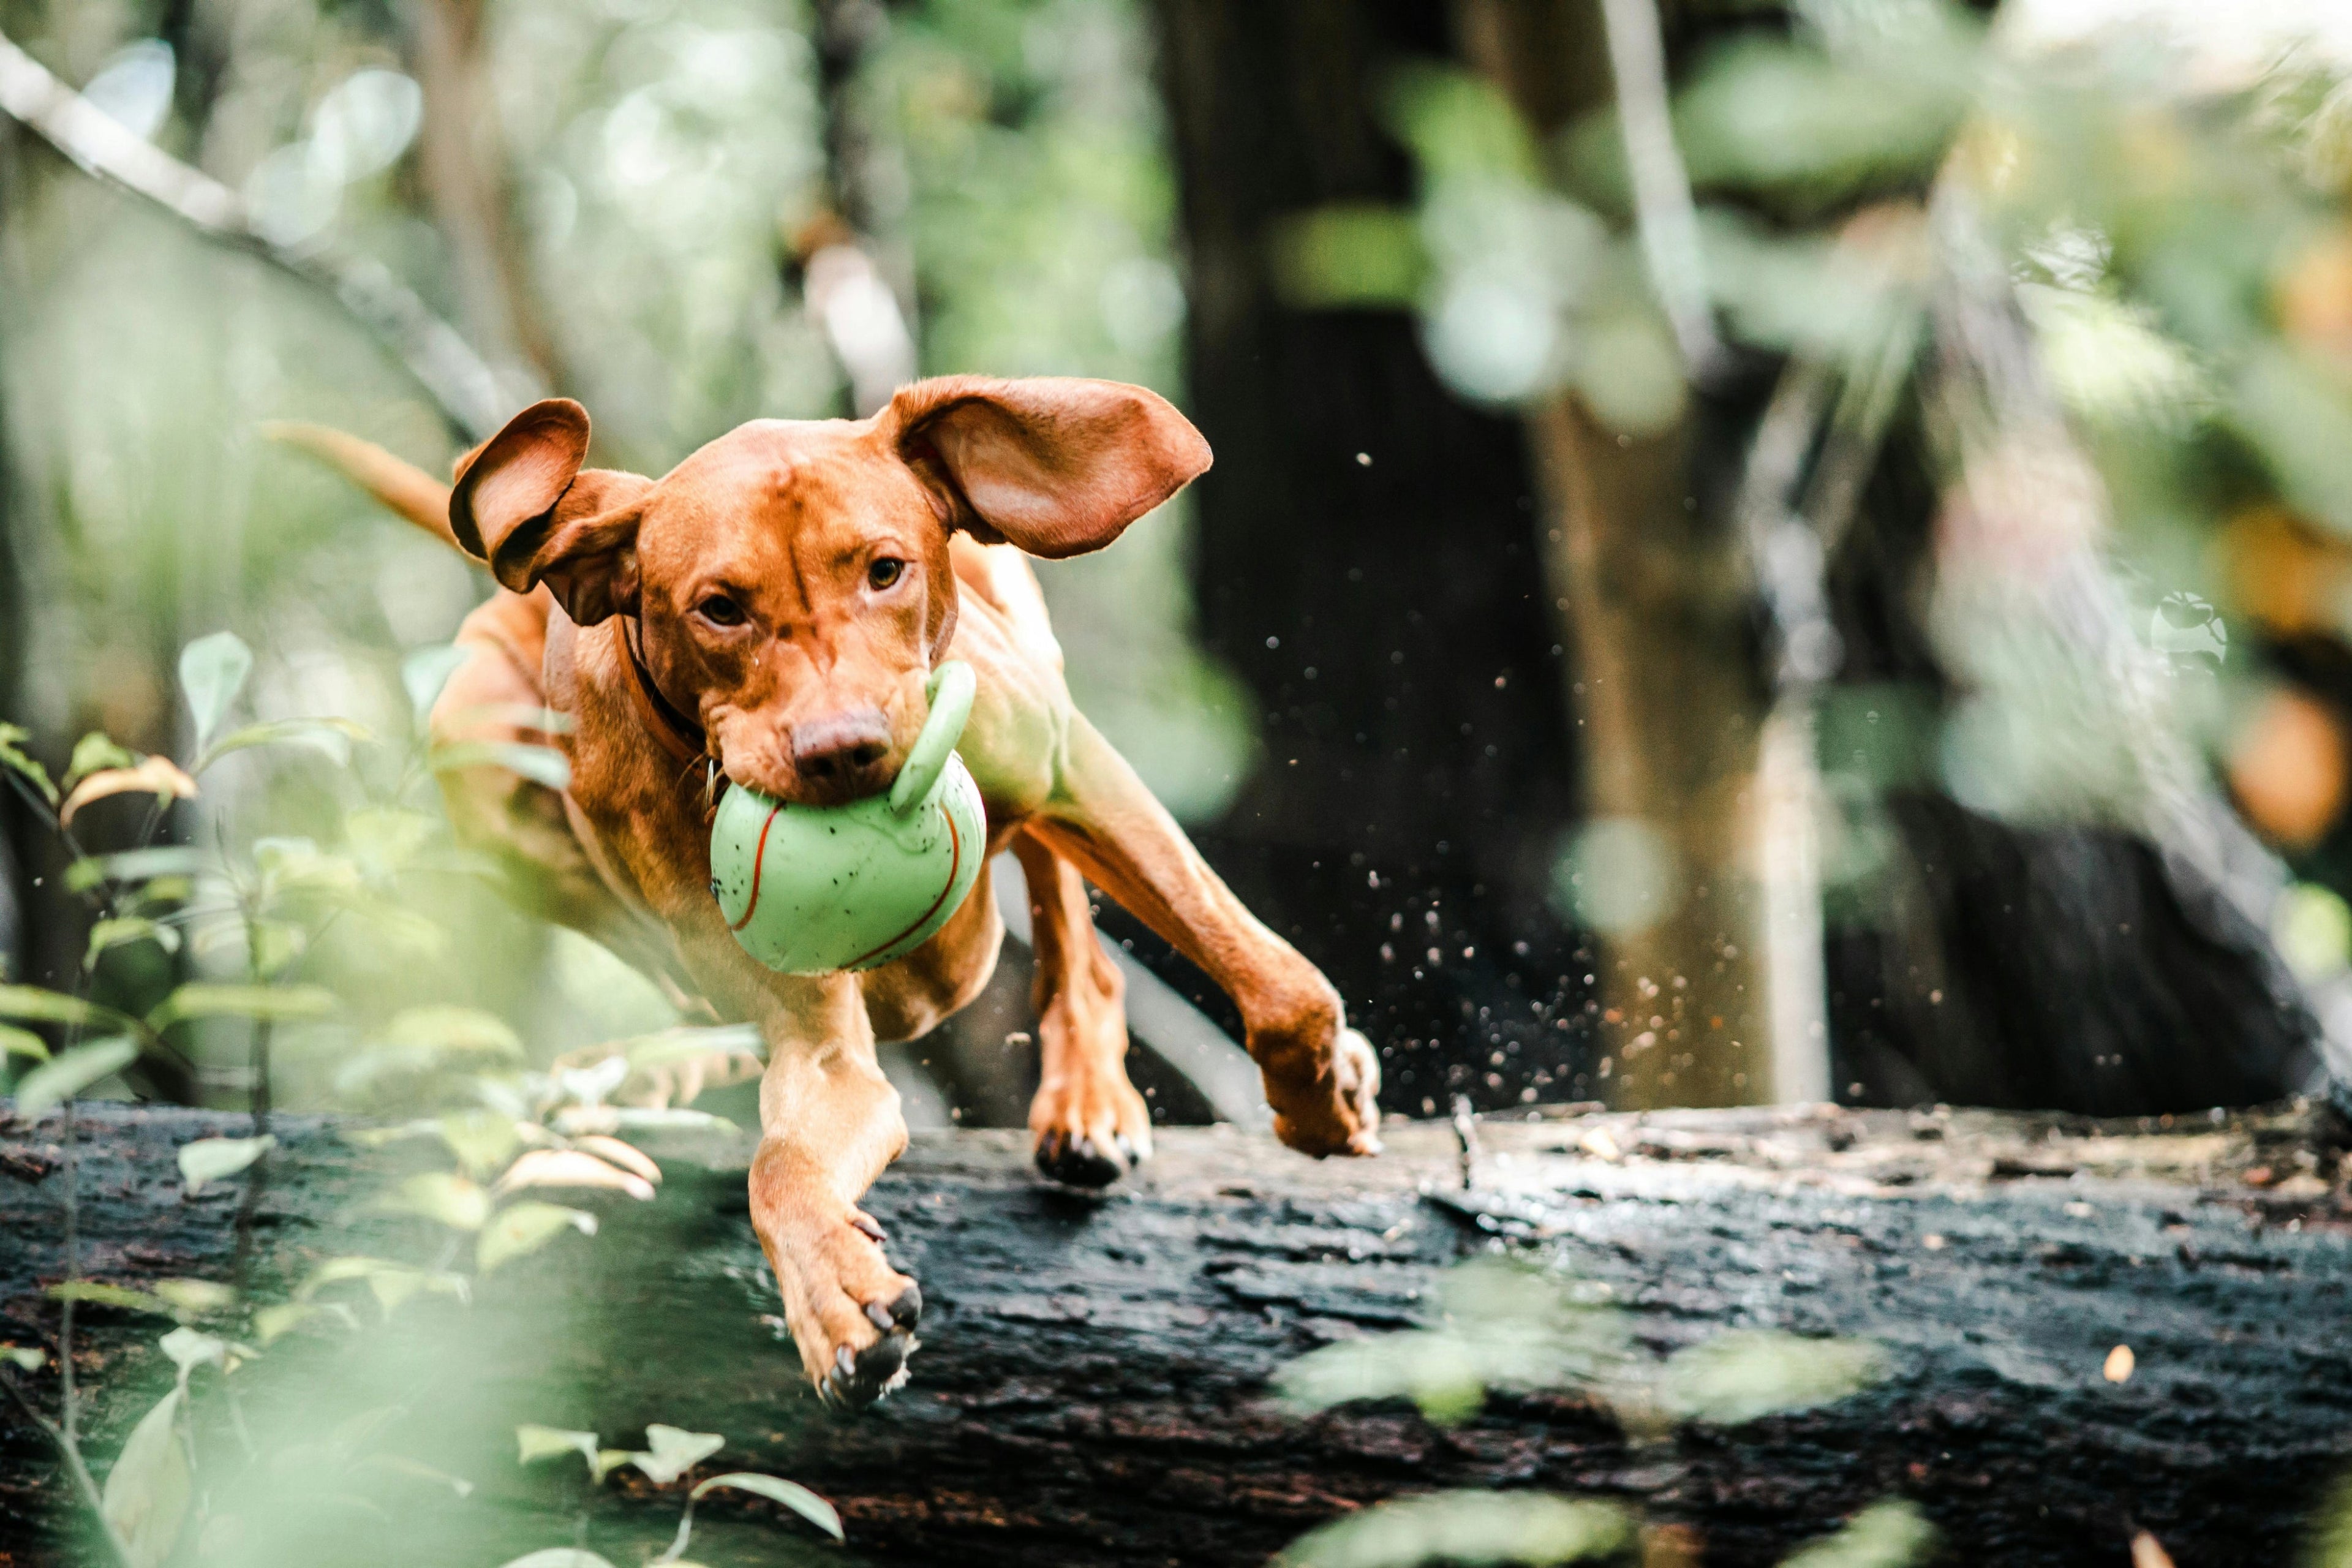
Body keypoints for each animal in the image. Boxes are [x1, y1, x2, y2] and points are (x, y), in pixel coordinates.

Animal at [296, 383, 1392, 1410]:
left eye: (885, 570)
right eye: (720, 607)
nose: (845, 751)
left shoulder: (1070, 770)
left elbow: (1273, 981)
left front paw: (1320, 1096)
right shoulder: (815, 1044)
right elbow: (782, 1164)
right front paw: (833, 1298)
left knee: (1067, 917)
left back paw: (1088, 1096)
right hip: (476, 740)